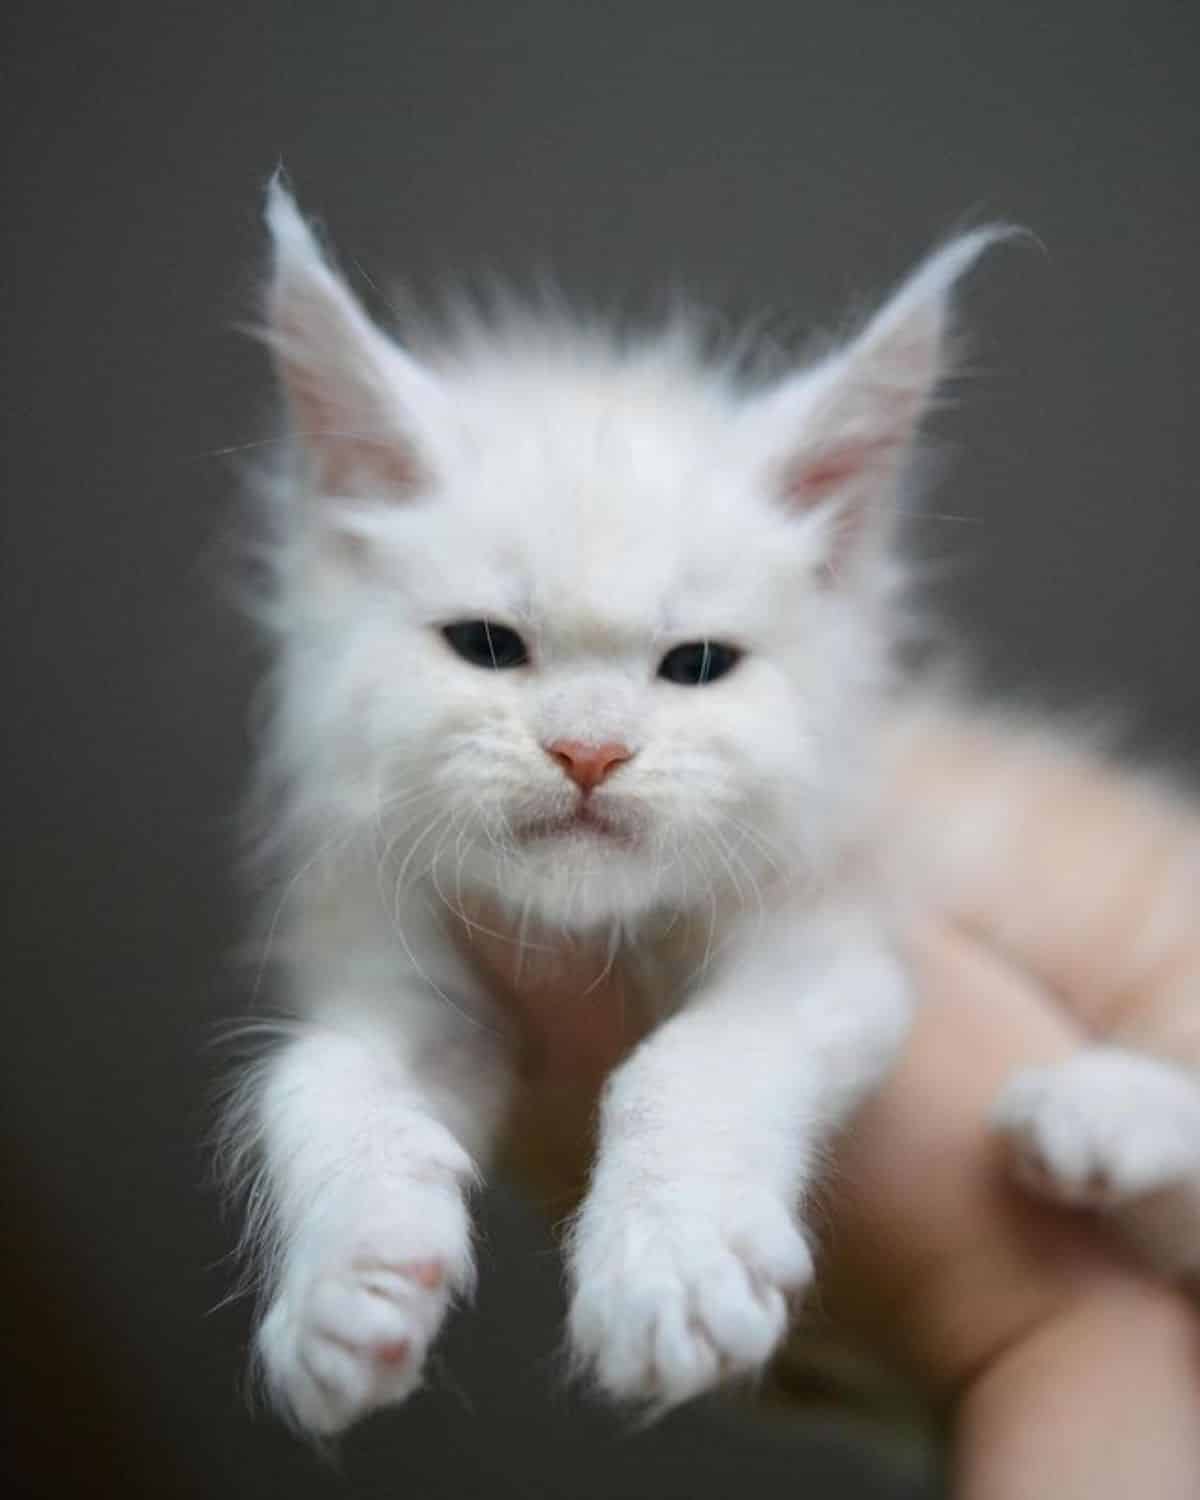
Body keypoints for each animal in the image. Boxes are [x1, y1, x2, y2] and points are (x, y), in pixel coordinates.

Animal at [225, 181, 1200, 1434]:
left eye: (696, 665)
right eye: (487, 646)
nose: (589, 751)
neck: (591, 935)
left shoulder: (835, 944)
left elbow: (688, 1064)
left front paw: (669, 1269)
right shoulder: (402, 973)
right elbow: (311, 1079)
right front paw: (346, 1283)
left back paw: (1095, 1112)